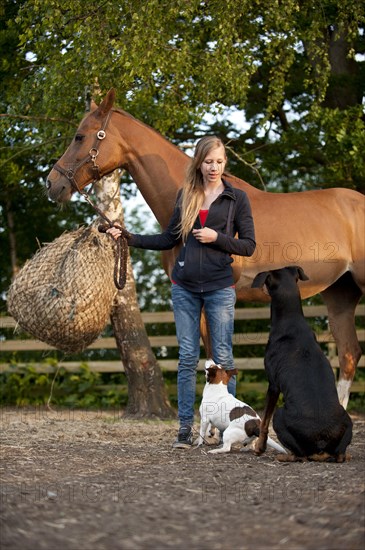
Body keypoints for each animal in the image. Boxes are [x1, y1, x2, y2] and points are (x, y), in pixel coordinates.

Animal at [47, 89, 362, 410]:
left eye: (80, 136)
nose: (52, 183)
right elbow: (208, 359)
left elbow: (220, 357)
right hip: (340, 293)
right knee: (349, 354)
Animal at [252, 266, 352, 464]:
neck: (291, 320)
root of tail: (322, 444)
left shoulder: (273, 385)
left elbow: (264, 421)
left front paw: (259, 447)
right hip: (348, 422)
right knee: (340, 455)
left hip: (280, 414)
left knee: (301, 455)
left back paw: (284, 456)